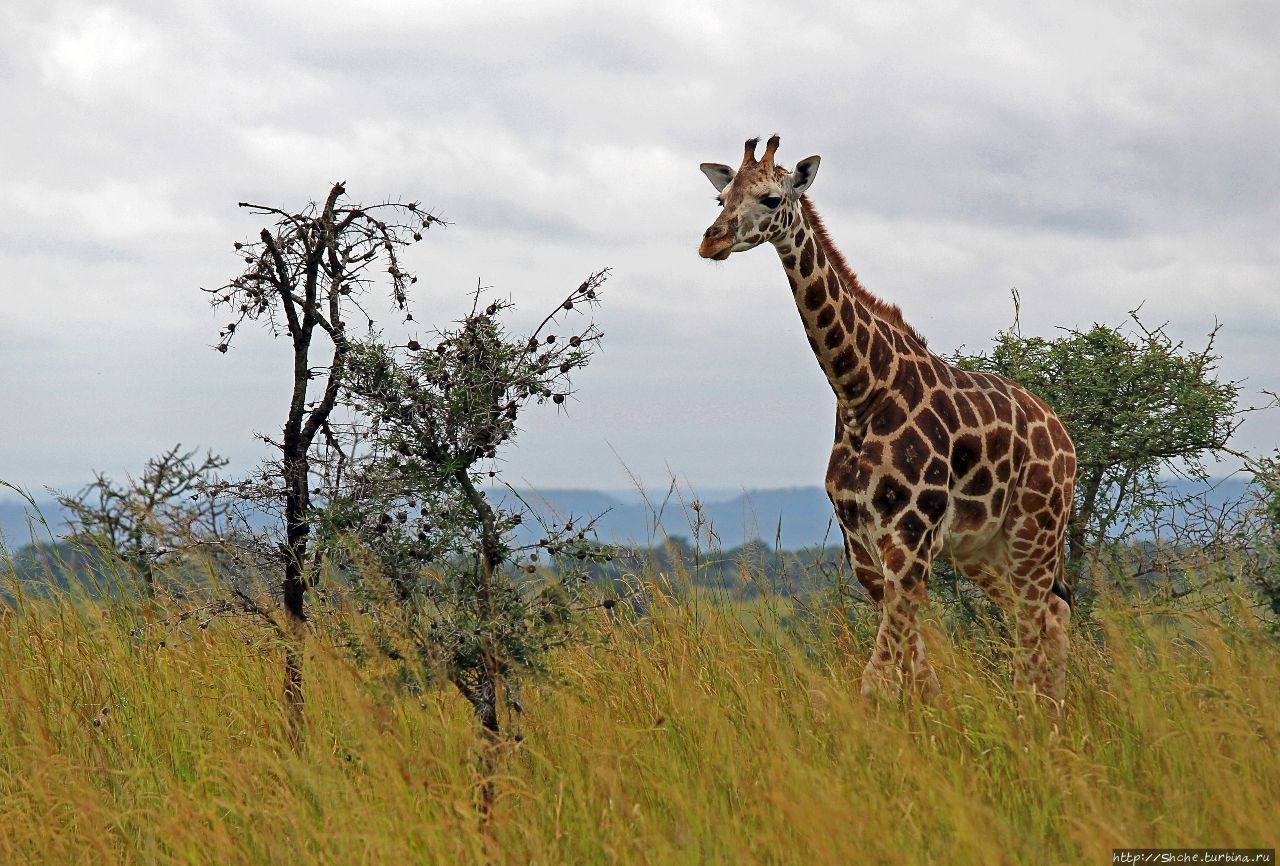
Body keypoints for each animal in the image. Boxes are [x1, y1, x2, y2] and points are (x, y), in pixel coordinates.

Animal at [696, 134, 1075, 700]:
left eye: (770, 198)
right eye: (721, 199)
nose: (711, 241)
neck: (860, 391)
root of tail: (1064, 437)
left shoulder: (910, 540)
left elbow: (878, 675)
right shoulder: (863, 548)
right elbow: (915, 669)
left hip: (1036, 531)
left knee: (1040, 620)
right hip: (984, 548)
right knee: (1047, 614)